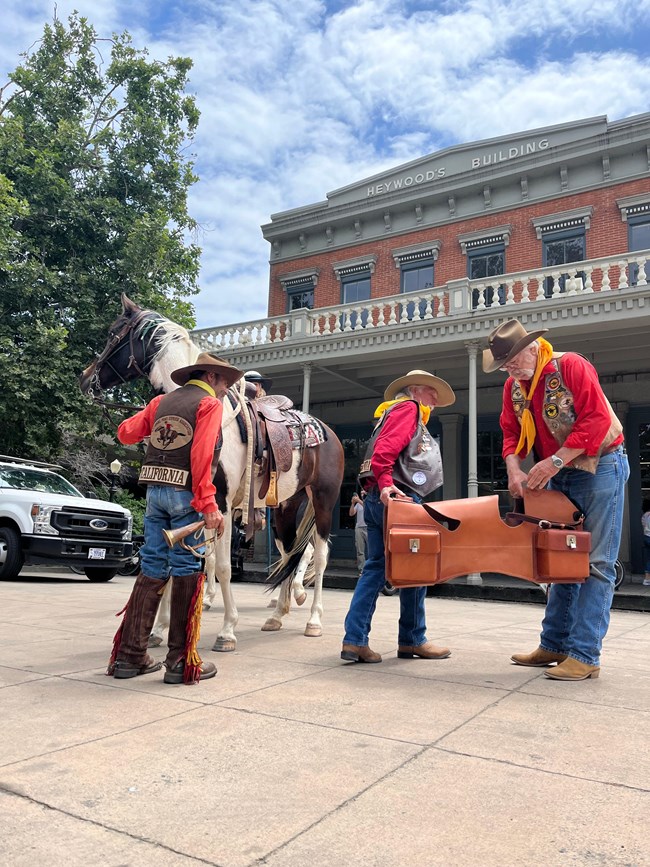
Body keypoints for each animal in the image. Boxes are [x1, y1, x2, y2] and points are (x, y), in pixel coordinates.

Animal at [79, 294, 344, 648]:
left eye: (112, 334)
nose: (85, 377)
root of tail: (325, 430)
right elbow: (182, 562)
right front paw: (160, 629)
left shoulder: (222, 503)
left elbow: (221, 566)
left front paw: (227, 629)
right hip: (286, 508)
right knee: (291, 552)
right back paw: (277, 614)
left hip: (323, 501)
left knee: (321, 553)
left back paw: (313, 619)